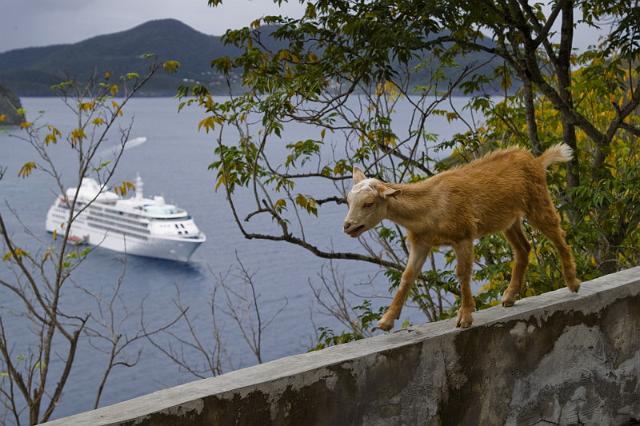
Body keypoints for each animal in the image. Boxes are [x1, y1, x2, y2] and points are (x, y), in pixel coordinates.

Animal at [344, 145, 580, 332]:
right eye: (349, 200)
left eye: (368, 203)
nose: (348, 226)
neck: (429, 209)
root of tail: (537, 161)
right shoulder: (421, 243)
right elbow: (407, 276)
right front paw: (386, 321)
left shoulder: (463, 235)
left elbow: (462, 273)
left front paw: (465, 318)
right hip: (508, 220)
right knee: (523, 248)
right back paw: (509, 297)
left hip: (537, 201)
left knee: (558, 236)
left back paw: (573, 283)